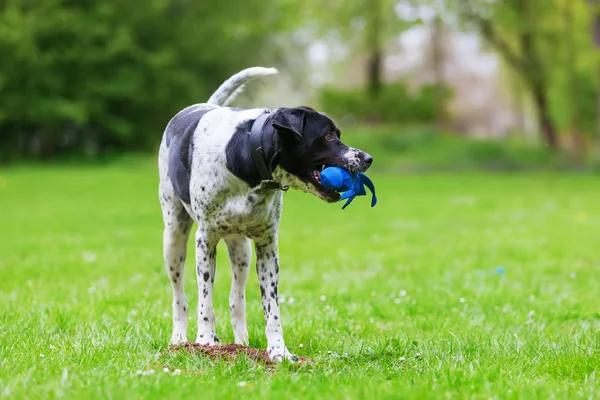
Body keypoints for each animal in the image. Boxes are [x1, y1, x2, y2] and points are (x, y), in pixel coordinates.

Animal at [158, 67, 376, 360]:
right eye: (329, 136)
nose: (367, 158)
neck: (248, 159)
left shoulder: (267, 247)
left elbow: (271, 308)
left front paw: (278, 351)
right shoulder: (205, 241)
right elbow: (205, 301)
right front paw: (205, 341)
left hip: (241, 250)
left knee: (235, 300)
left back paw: (241, 344)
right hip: (174, 239)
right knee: (179, 298)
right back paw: (180, 339)